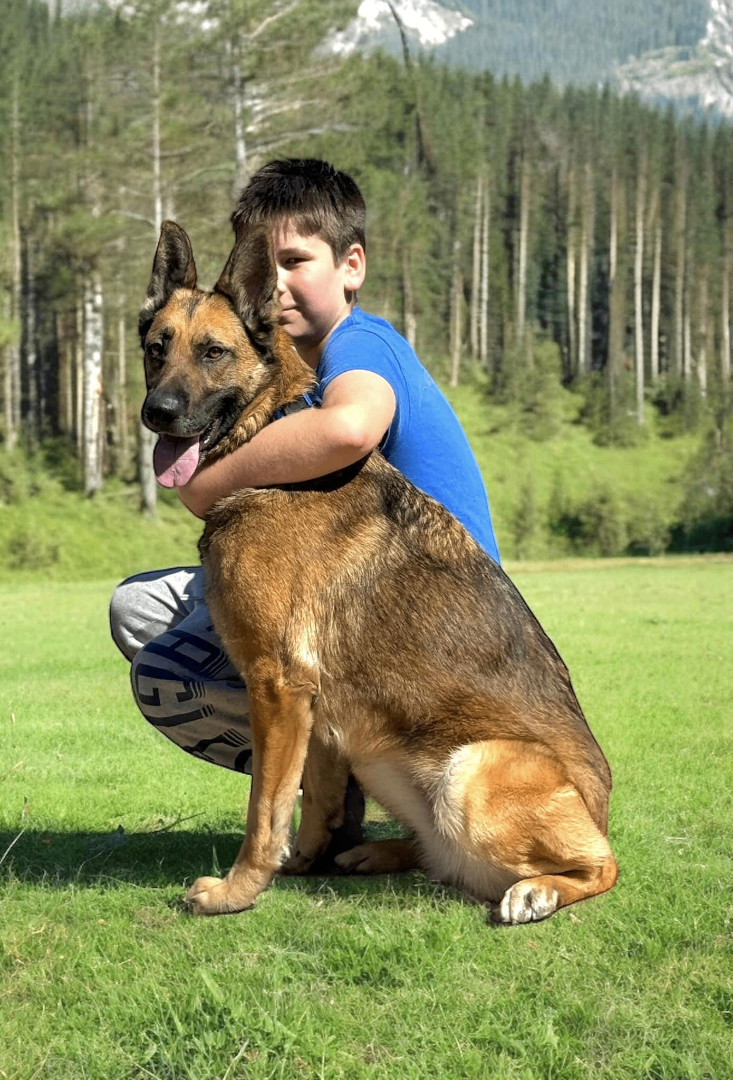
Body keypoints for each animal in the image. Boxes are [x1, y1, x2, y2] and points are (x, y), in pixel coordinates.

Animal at [139, 219, 617, 920]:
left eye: (213, 353)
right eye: (156, 349)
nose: (159, 412)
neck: (270, 425)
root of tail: (600, 810)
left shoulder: (276, 686)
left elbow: (265, 809)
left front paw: (237, 890)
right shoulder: (312, 707)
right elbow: (311, 796)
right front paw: (300, 862)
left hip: (471, 772)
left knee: (601, 865)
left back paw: (536, 891)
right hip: (381, 754)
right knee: (434, 854)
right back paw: (377, 854)